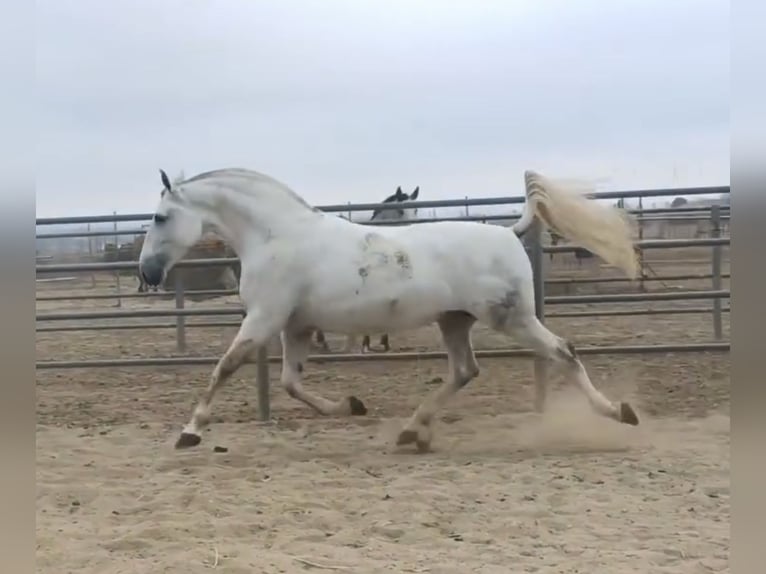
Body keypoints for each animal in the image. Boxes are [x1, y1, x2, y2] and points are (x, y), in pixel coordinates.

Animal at [140, 166, 640, 454]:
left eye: (160, 217)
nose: (147, 272)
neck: (276, 236)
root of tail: (508, 231)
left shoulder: (264, 319)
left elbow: (224, 368)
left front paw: (190, 431)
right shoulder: (295, 327)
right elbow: (290, 383)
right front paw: (351, 406)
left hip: (512, 318)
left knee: (563, 352)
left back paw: (618, 412)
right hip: (454, 321)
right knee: (465, 371)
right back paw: (412, 432)